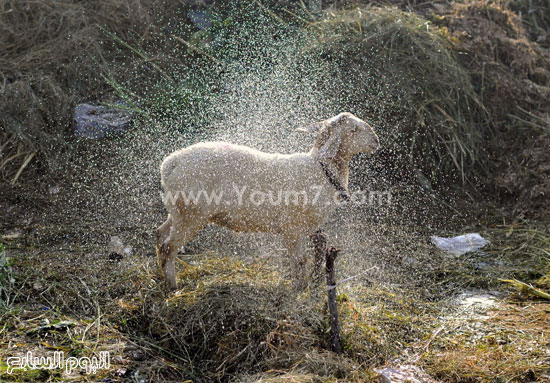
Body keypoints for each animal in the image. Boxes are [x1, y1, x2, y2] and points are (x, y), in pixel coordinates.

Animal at [155, 112, 380, 290]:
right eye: (354, 129)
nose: (376, 141)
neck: (321, 170)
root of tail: (170, 164)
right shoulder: (293, 227)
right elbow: (299, 260)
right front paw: (298, 289)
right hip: (191, 214)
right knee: (168, 247)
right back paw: (173, 287)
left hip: (177, 211)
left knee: (159, 235)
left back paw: (161, 278)